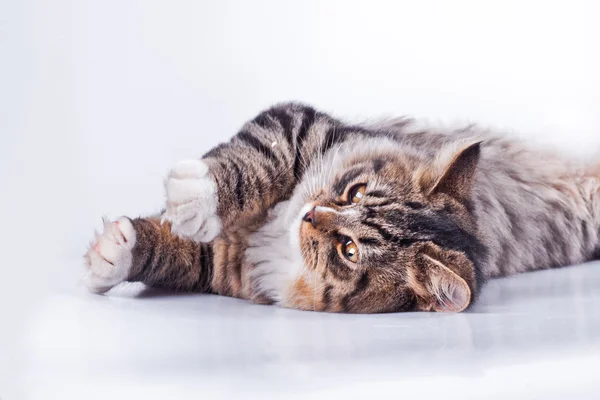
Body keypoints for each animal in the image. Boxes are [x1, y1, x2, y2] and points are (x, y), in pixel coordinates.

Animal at [81, 102, 600, 312]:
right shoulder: (302, 123)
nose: (311, 214)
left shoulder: (225, 265)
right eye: (355, 192)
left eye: (348, 250)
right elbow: (262, 155)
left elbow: (177, 254)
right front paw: (120, 247)